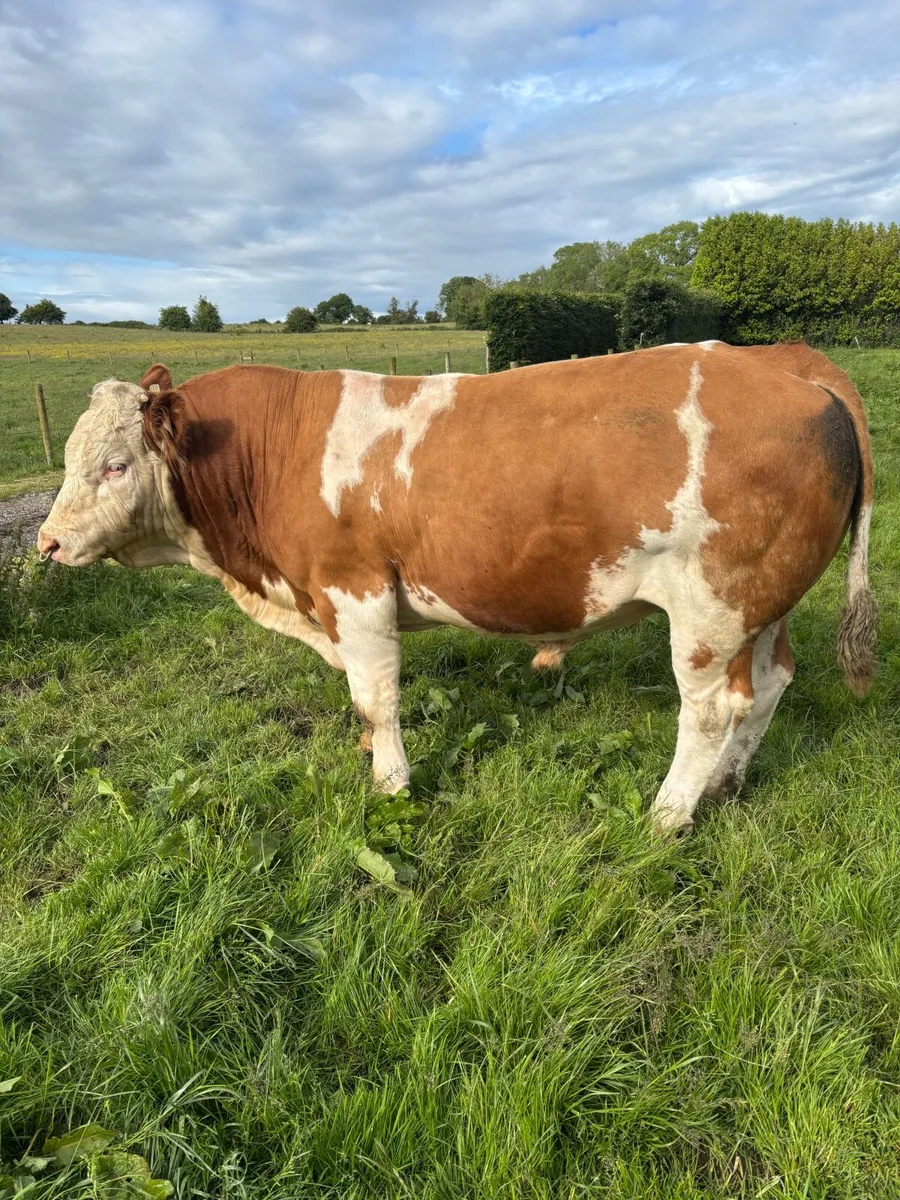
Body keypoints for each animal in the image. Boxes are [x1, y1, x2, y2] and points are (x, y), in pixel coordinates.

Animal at [37, 341, 876, 834]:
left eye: (114, 464)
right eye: (71, 457)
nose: (46, 542)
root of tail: (790, 365)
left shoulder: (356, 590)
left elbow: (376, 697)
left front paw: (391, 785)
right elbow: (362, 701)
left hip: (711, 608)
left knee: (710, 710)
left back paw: (669, 814)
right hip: (762, 606)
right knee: (767, 688)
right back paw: (727, 785)